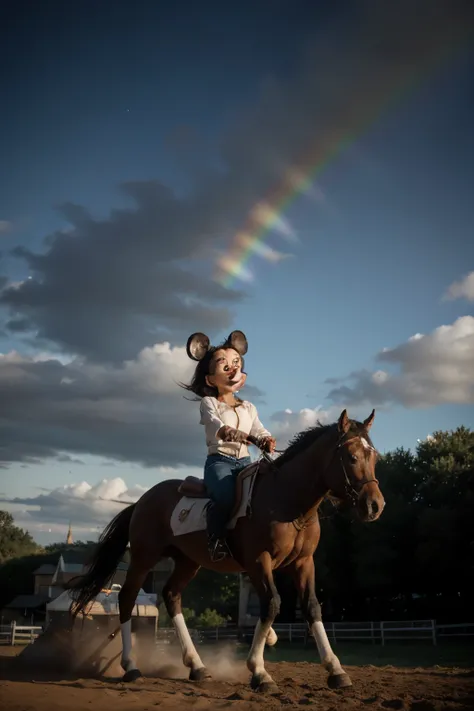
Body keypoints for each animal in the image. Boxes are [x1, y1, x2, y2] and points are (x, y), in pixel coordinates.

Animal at [66, 408, 386, 692]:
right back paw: (131, 666)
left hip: (188, 562)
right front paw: (259, 672)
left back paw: (197, 666)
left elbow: (311, 607)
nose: (375, 505)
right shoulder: (259, 561)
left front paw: (335, 669)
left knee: (172, 596)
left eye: (375, 457)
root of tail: (142, 500)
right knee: (127, 599)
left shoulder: (304, 562)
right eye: (352, 457)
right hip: (144, 558)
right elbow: (272, 604)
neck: (286, 499)